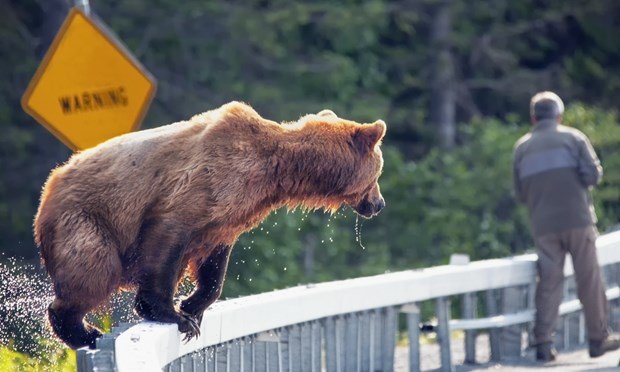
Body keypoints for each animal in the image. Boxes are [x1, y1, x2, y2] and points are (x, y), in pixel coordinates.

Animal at [34, 101, 386, 348]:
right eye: (378, 172)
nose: (379, 204)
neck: (274, 171)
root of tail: (47, 190)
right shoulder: (199, 186)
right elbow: (166, 239)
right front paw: (174, 315)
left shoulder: (229, 216)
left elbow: (214, 265)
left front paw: (193, 306)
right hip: (86, 219)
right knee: (93, 268)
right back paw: (85, 331)